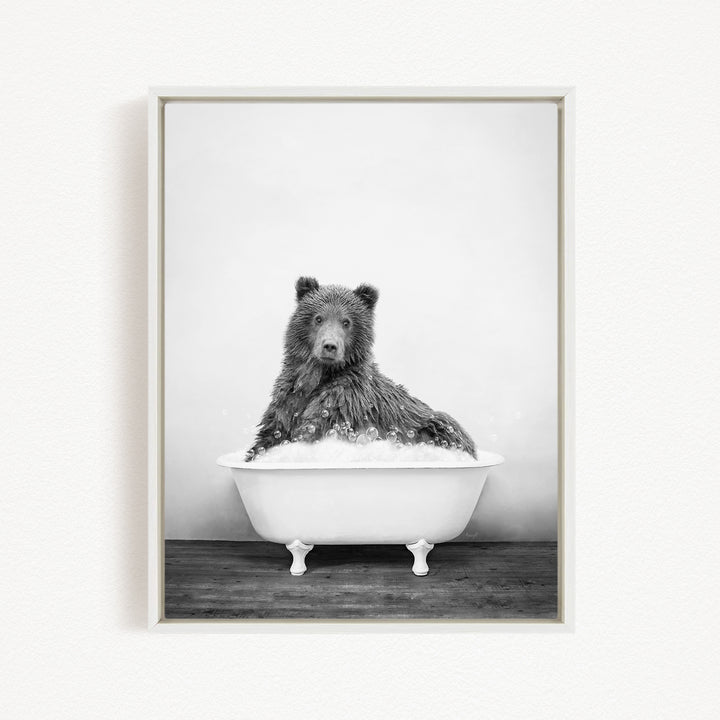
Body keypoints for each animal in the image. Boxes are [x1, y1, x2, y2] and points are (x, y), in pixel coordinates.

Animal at [246, 276, 476, 460]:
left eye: (346, 321)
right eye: (318, 318)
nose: (330, 346)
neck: (319, 375)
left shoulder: (344, 401)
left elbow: (314, 428)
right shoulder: (287, 399)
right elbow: (271, 433)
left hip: (434, 425)